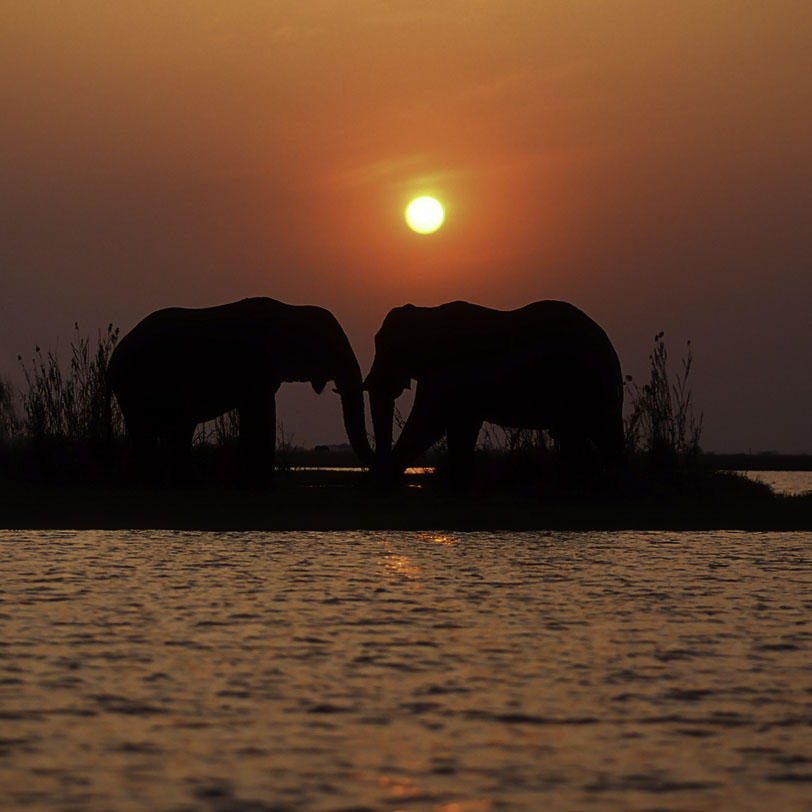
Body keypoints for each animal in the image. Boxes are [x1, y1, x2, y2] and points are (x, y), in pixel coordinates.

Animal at [108, 296, 374, 478]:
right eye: (331, 347)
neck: (292, 309)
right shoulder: (258, 366)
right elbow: (262, 413)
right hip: (132, 384)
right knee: (150, 434)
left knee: (176, 432)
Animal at [364, 302, 624, 486]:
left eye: (389, 348)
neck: (427, 313)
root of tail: (609, 346)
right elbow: (461, 428)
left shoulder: (447, 371)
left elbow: (428, 426)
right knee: (577, 437)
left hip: (590, 382)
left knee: (604, 435)